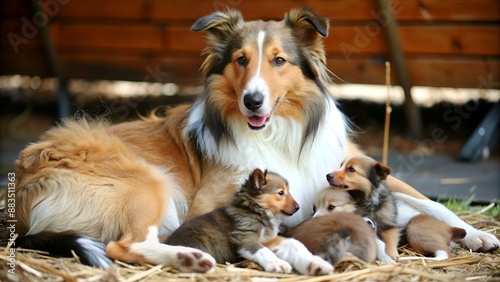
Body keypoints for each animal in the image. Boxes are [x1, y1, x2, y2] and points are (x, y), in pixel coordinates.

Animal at [166, 170, 334, 276]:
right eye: (281, 193)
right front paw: (277, 263)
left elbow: (294, 244)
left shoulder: (268, 239)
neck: (257, 210)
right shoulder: (244, 237)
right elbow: (262, 251)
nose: (298, 207)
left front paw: (316, 264)